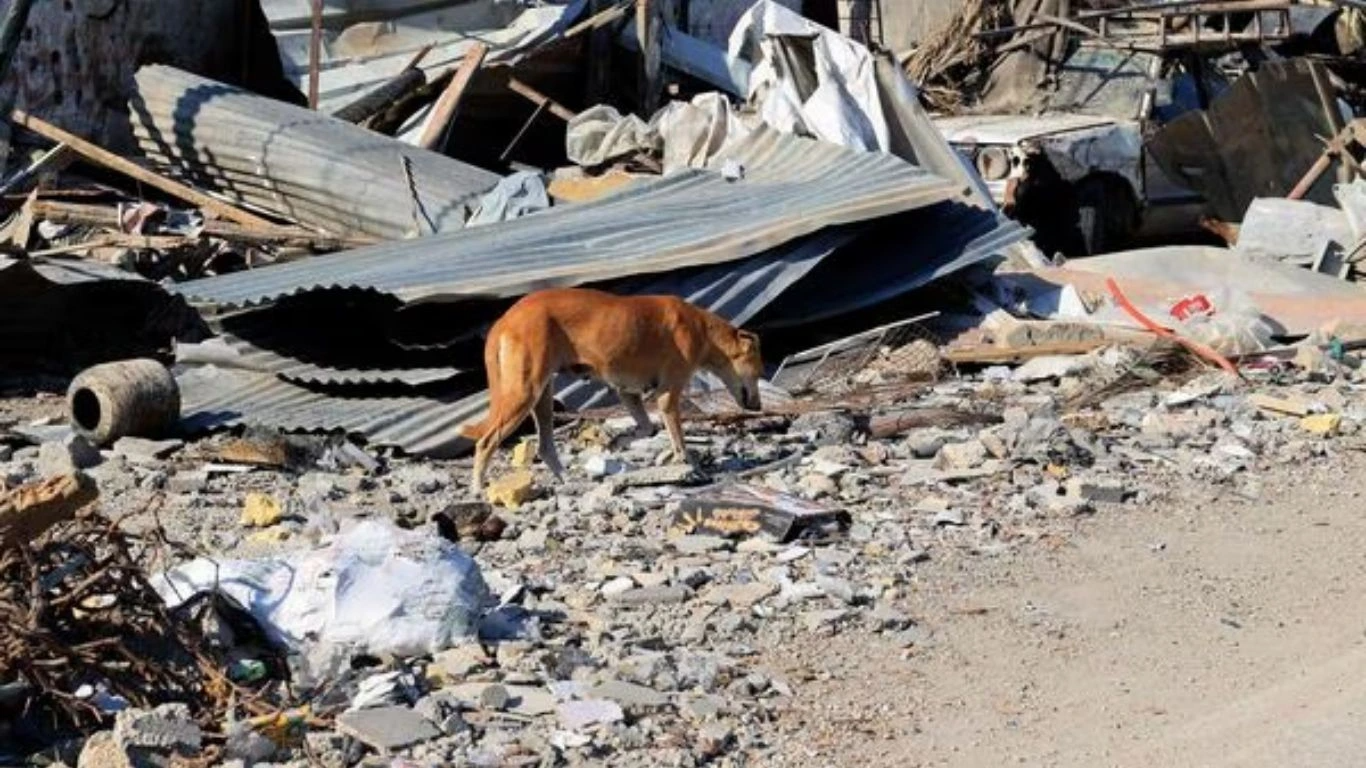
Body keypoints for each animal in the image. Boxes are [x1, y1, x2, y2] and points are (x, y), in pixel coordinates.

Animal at [456, 286, 759, 489]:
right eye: (758, 372)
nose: (758, 407)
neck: (703, 329)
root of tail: (504, 320)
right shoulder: (667, 395)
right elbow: (678, 440)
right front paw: (688, 466)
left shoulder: (628, 392)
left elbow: (647, 428)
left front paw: (621, 443)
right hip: (524, 393)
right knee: (486, 442)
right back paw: (478, 488)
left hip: (542, 398)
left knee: (545, 447)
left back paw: (567, 480)